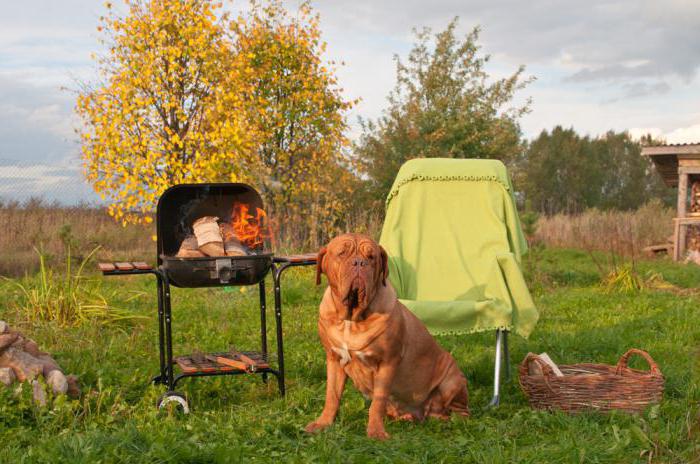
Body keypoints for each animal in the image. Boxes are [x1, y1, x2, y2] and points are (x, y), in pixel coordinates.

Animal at [306, 234, 470, 440]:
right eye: (342, 253)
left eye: (371, 257)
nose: (359, 262)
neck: (352, 319)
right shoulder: (334, 359)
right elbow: (332, 396)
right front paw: (323, 423)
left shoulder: (387, 362)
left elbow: (378, 401)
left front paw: (376, 432)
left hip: (452, 379)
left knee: (461, 410)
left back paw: (452, 421)